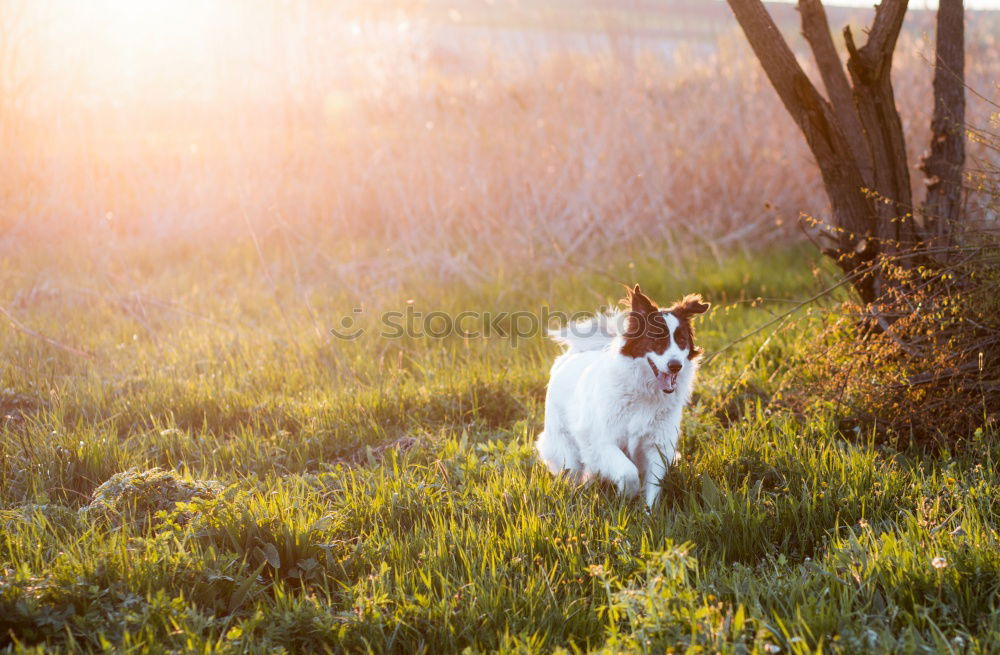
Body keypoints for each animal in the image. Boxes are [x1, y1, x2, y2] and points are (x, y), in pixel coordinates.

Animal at [536, 288, 708, 508]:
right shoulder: (602, 442)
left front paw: (648, 512)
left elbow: (653, 485)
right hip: (566, 449)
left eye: (682, 341)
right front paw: (626, 496)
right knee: (572, 472)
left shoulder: (657, 445)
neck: (643, 391)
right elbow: (628, 473)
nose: (675, 366)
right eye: (656, 340)